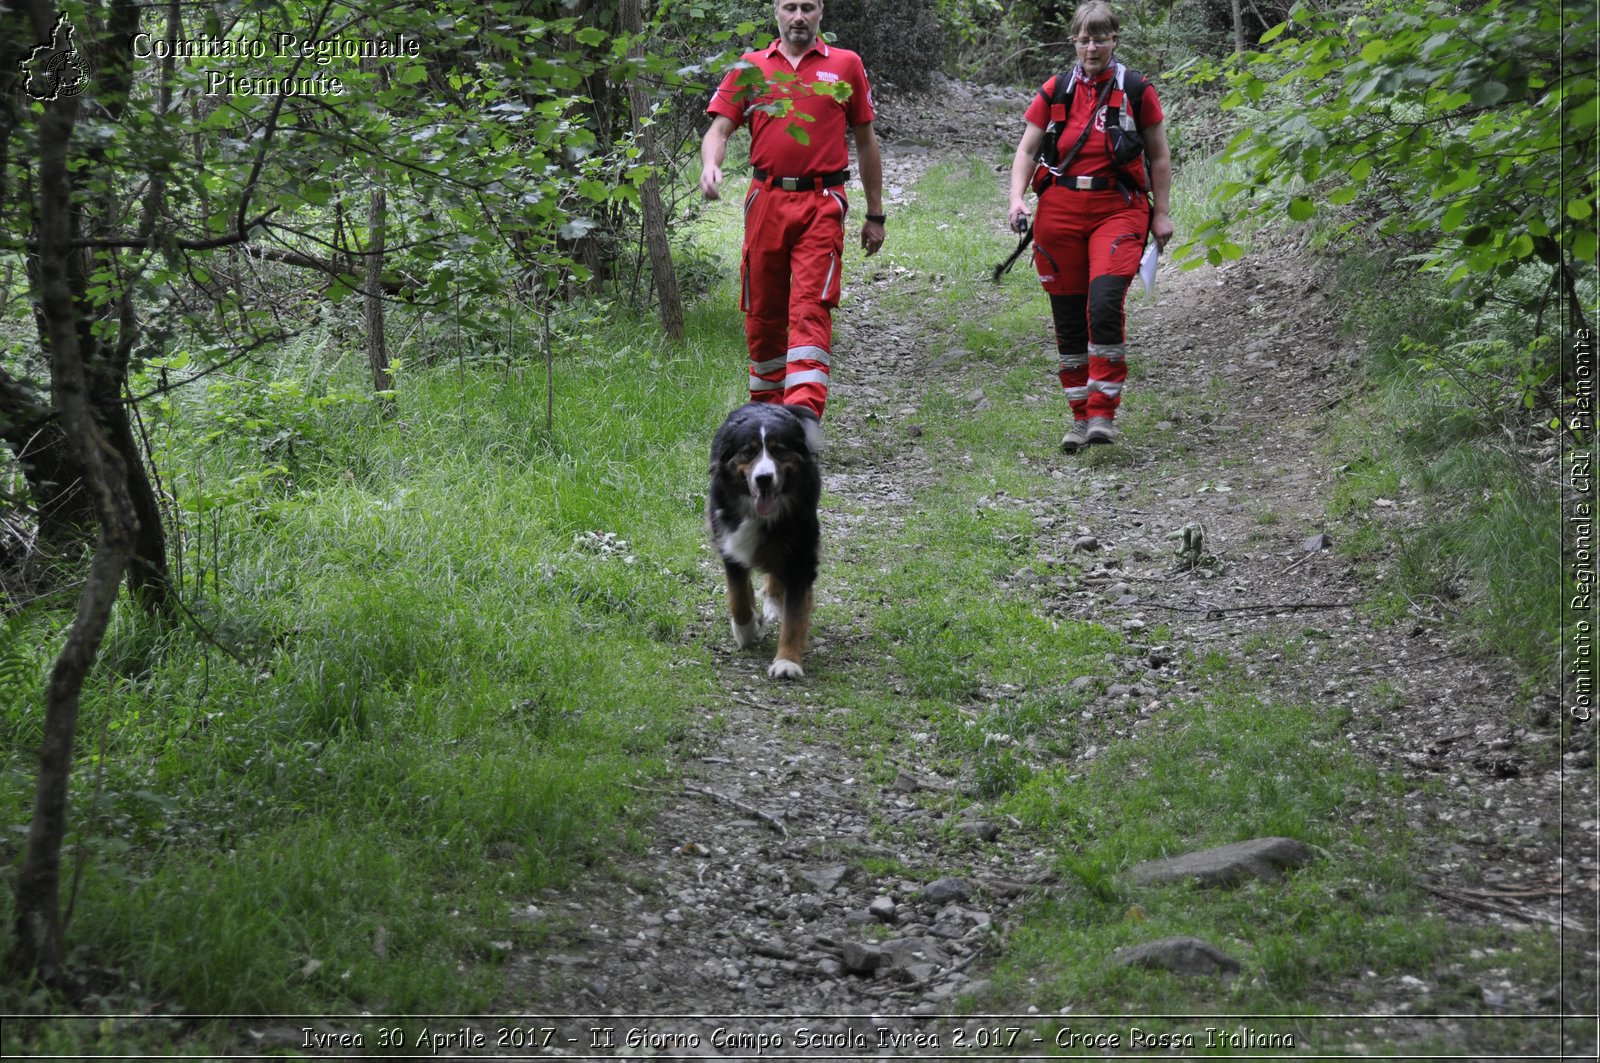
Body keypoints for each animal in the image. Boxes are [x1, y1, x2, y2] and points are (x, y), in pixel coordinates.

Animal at [704, 398, 819, 681]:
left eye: (779, 451)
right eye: (748, 452)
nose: (764, 478)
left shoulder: (801, 554)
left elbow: (794, 617)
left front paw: (787, 662)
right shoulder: (730, 544)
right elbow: (738, 598)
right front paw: (746, 631)